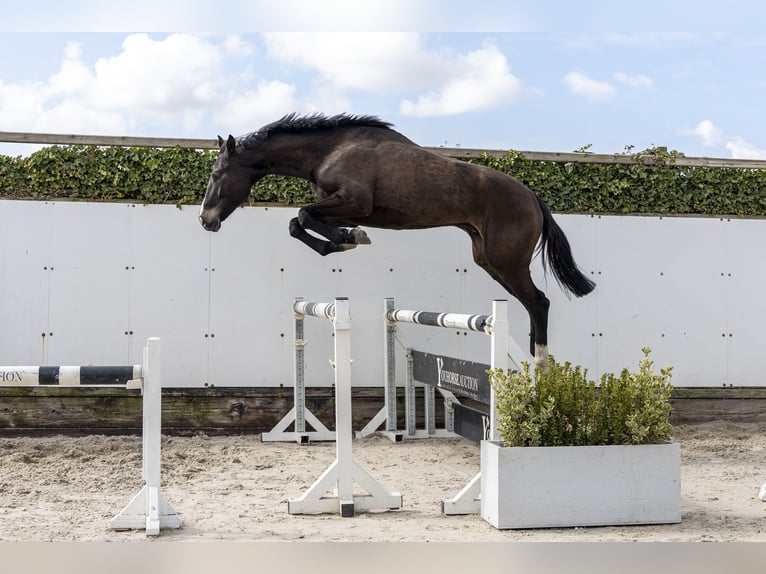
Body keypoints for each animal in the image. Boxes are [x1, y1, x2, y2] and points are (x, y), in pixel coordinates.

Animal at [199, 113, 595, 369]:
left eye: (218, 174)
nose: (206, 220)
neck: (330, 150)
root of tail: (532, 197)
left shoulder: (354, 202)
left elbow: (302, 215)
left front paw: (350, 239)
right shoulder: (348, 209)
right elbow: (299, 223)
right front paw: (346, 239)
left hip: (506, 260)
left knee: (539, 302)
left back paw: (540, 361)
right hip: (488, 259)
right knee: (532, 304)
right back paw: (532, 360)